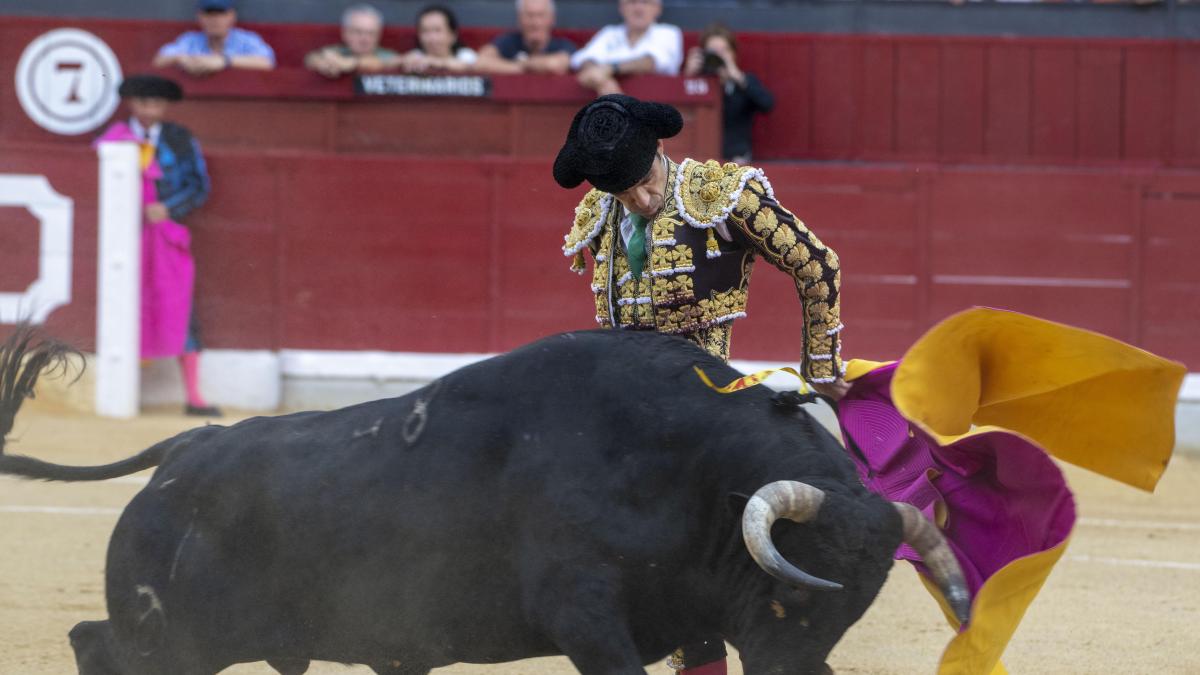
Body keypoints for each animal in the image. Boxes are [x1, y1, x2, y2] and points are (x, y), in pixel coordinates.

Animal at [0, 326, 969, 672]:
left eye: (854, 606)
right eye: (788, 586)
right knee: (94, 642)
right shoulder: (586, 616)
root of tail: (185, 450)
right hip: (170, 633)